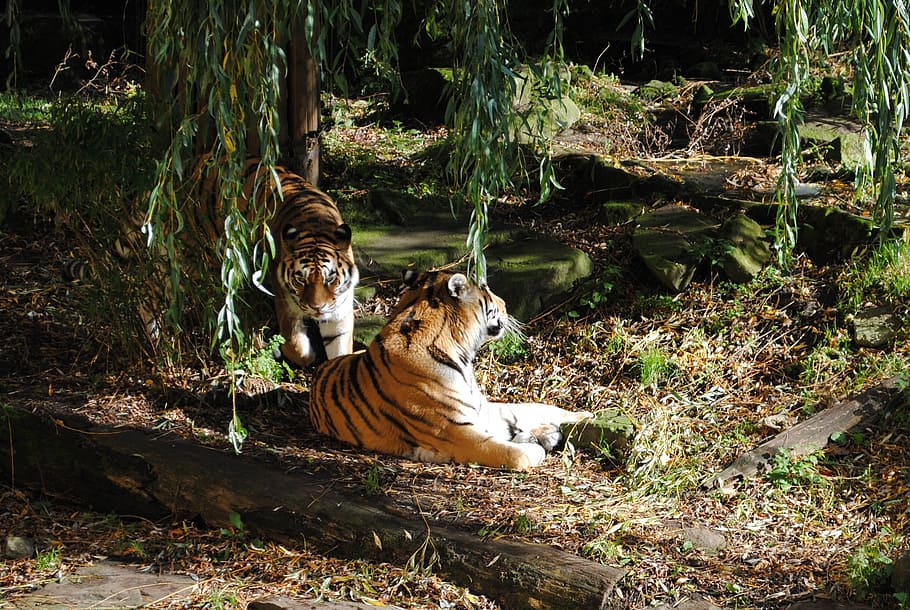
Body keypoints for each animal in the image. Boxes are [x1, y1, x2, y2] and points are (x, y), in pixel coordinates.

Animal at [308, 269, 592, 470]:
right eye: (488, 291)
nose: (505, 304)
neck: (461, 353)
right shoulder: (455, 431)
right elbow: (511, 454)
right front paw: (534, 449)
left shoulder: (481, 409)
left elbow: (538, 407)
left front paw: (584, 416)